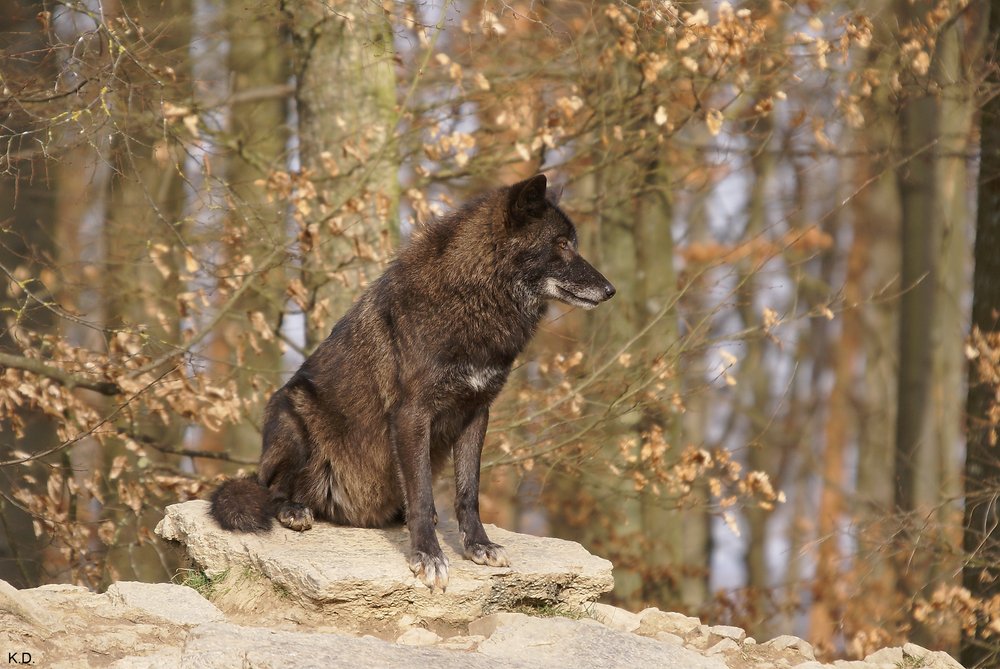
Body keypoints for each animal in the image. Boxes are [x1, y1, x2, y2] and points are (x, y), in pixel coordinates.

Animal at [210, 174, 615, 591]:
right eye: (561, 244)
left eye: (573, 242)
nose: (610, 290)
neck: (474, 298)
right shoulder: (412, 414)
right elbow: (421, 494)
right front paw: (428, 556)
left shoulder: (477, 412)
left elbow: (468, 492)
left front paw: (479, 545)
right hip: (293, 411)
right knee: (269, 488)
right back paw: (293, 508)